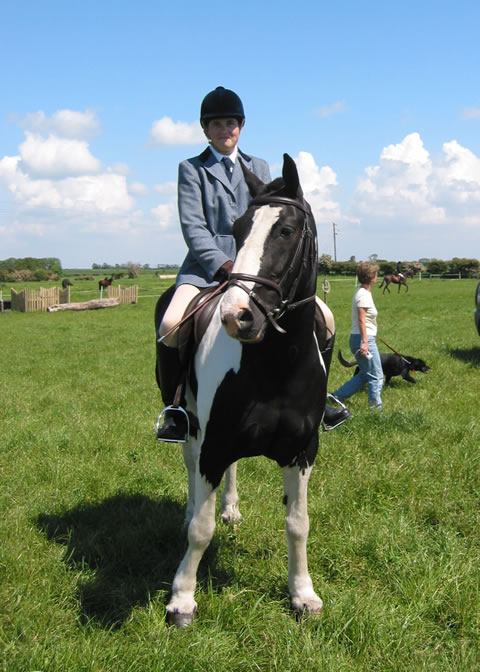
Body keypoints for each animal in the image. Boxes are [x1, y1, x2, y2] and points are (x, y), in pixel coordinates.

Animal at [156, 155, 328, 628]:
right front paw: (182, 599)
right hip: (190, 421)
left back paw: (231, 509)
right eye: (236, 230)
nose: (237, 316)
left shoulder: (301, 451)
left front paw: (303, 595)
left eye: (285, 230)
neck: (275, 366)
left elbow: (299, 523)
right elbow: (201, 529)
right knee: (190, 464)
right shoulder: (214, 443)